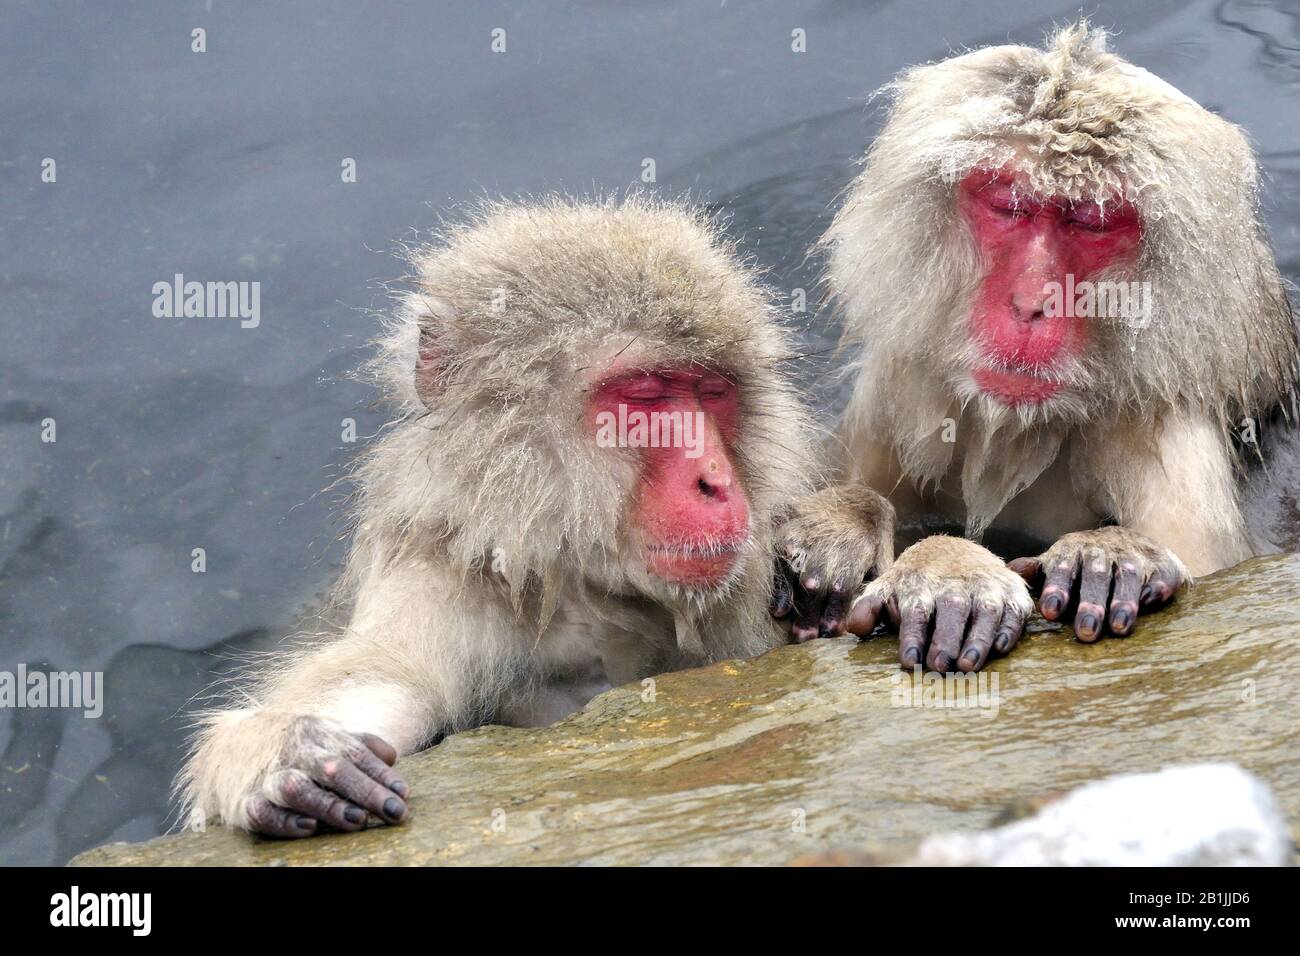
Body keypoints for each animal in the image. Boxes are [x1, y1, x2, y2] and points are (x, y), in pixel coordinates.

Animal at [180, 196, 852, 837]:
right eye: (645, 398)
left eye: (712, 393)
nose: (715, 479)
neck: (594, 601)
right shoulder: (440, 586)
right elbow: (380, 673)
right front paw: (275, 751)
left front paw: (841, 538)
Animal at [774, 20, 1300, 671]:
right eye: (1009, 205)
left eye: (1090, 221)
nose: (1031, 301)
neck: (1022, 432)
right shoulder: (900, 388)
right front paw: (869, 532)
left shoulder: (1167, 436)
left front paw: (1108, 559)